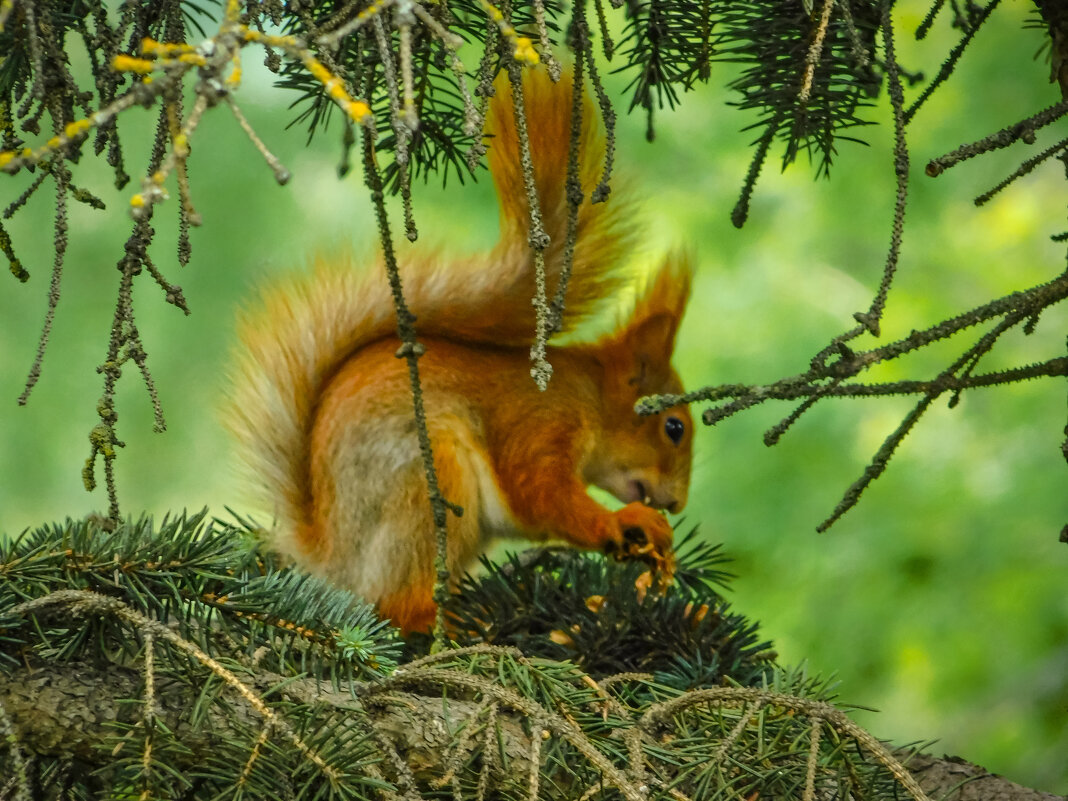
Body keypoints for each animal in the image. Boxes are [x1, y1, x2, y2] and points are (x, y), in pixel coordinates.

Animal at [225, 67, 692, 632]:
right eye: (674, 428)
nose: (677, 503)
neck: (592, 396)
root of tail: (331, 560)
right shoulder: (541, 422)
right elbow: (541, 496)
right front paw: (626, 523)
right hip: (433, 483)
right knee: (395, 606)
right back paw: (450, 618)